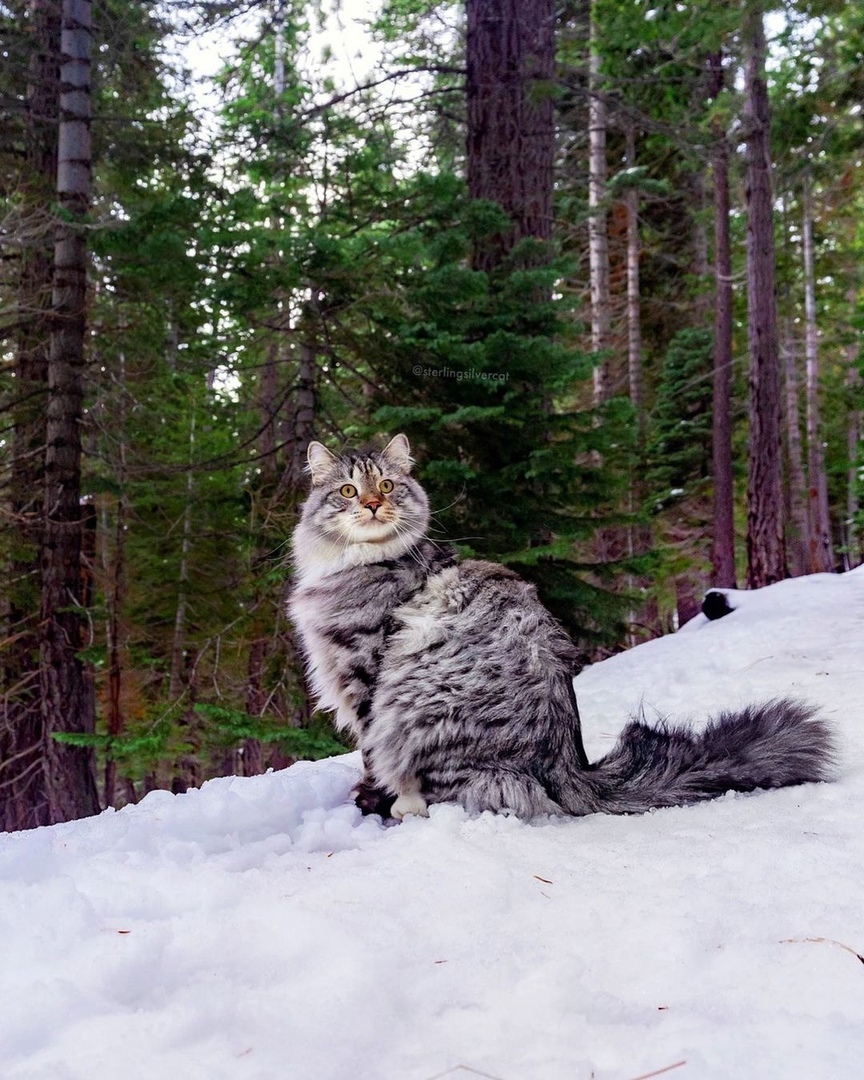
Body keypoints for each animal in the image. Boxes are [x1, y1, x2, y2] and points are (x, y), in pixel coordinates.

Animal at [289, 434, 838, 820]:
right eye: (347, 490)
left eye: (386, 486)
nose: (372, 505)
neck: (361, 563)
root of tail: (569, 768)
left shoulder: (366, 674)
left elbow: (369, 756)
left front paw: (372, 801)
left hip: (416, 705)